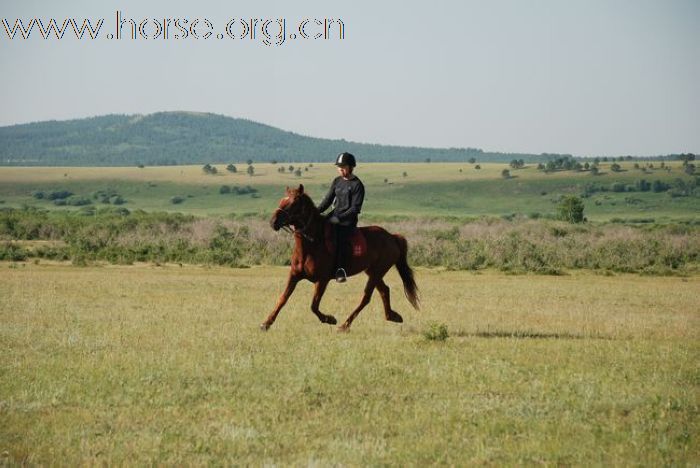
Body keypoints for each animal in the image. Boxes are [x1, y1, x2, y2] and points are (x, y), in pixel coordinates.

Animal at [262, 185, 416, 330]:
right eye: (282, 200)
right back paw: (393, 316)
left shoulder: (322, 280)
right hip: (373, 271)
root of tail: (392, 237)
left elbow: (313, 305)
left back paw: (345, 325)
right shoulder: (294, 275)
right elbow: (282, 298)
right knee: (384, 290)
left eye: (294, 203)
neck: (312, 244)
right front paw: (266, 323)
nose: (273, 222)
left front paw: (330, 319)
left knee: (366, 297)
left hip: (377, 272)